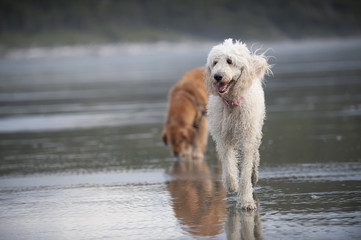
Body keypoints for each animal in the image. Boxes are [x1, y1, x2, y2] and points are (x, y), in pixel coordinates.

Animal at [204, 38, 268, 209]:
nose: (217, 76)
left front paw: (245, 200)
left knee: (255, 155)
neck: (231, 103)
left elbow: (245, 171)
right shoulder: (223, 138)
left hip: (255, 130)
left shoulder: (246, 139)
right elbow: (228, 165)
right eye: (215, 63)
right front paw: (232, 185)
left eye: (229, 61)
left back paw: (254, 176)